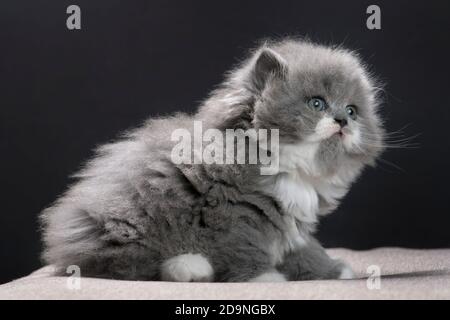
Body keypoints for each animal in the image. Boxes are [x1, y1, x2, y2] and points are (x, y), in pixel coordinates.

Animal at [41, 38, 384, 282]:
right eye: (317, 103)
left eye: (352, 110)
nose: (343, 120)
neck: (288, 166)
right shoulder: (232, 212)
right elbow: (243, 247)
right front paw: (263, 278)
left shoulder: (291, 222)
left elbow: (304, 249)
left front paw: (331, 271)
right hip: (127, 223)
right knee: (119, 264)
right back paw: (190, 267)